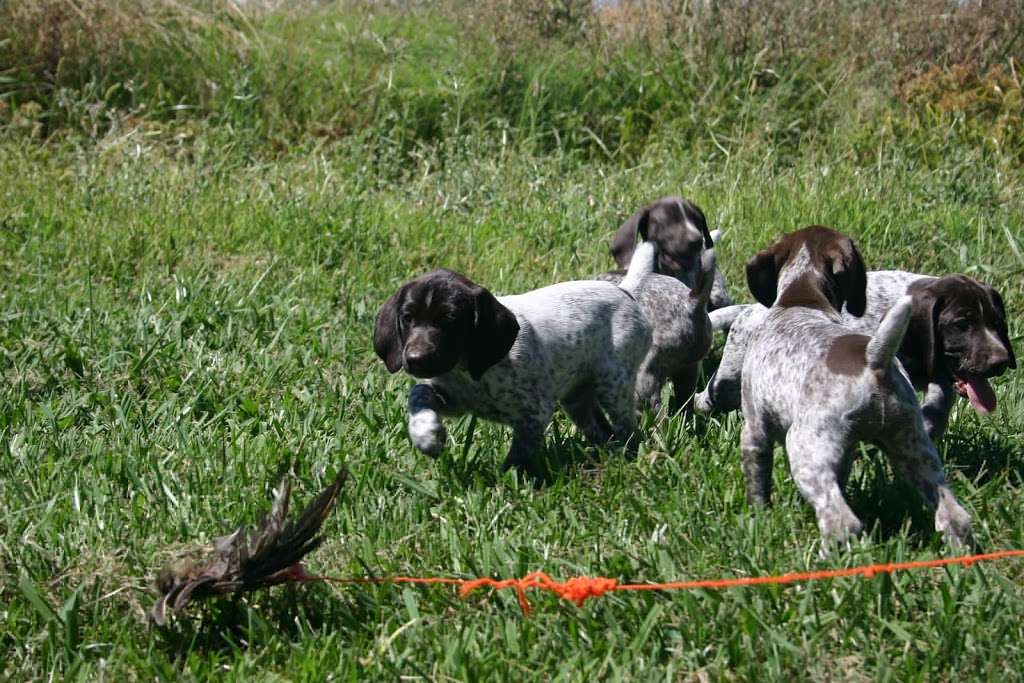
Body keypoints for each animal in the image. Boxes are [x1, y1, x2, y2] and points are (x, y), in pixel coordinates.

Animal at [376, 242, 655, 473]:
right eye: (407, 318)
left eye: (450, 320)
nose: (415, 358)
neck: (470, 371)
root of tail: (624, 291)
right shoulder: (453, 399)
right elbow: (418, 393)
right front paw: (427, 435)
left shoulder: (534, 413)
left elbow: (518, 456)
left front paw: (505, 483)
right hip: (576, 398)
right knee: (603, 431)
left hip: (614, 384)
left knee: (629, 431)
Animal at [692, 270, 1011, 440]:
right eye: (961, 324)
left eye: (997, 323)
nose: (1001, 362)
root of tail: (750, 310)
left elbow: (941, 397)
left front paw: (931, 423)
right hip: (731, 376)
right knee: (710, 397)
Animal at [737, 227, 966, 548]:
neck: (802, 296)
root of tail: (875, 363)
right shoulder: (844, 451)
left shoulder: (755, 429)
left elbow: (757, 482)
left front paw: (759, 517)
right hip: (915, 449)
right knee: (954, 516)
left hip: (805, 448)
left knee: (841, 522)